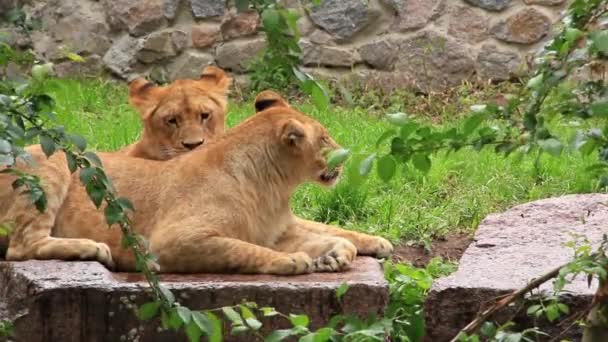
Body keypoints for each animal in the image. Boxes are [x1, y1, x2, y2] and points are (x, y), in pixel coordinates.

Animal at [1, 91, 394, 276]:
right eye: (325, 139)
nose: (346, 155)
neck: (275, 187)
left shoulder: (277, 228)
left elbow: (332, 231)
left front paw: (338, 252)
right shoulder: (169, 242)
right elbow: (241, 249)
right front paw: (293, 260)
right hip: (51, 161)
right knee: (21, 246)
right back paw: (92, 247)